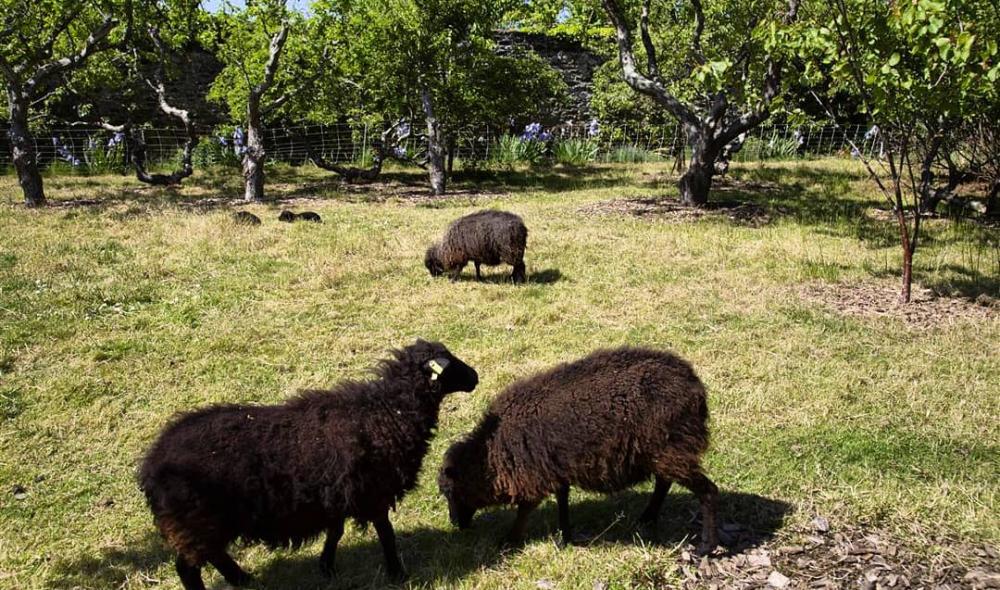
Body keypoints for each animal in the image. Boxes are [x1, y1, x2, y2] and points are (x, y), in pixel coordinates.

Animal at [141, 340, 480, 588]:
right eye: (449, 364)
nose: (475, 376)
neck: (388, 413)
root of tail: (150, 464)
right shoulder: (373, 492)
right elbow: (386, 533)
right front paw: (397, 573)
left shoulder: (338, 493)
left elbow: (335, 533)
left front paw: (326, 567)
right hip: (195, 519)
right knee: (188, 568)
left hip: (205, 522)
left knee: (214, 555)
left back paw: (243, 579)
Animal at [438, 346, 720, 556]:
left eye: (450, 492)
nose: (455, 525)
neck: (491, 453)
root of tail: (694, 385)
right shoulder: (554, 467)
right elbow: (562, 500)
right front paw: (565, 538)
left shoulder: (532, 473)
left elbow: (525, 509)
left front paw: (509, 540)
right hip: (662, 451)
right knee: (664, 482)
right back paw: (647, 517)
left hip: (671, 448)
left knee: (708, 492)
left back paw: (706, 547)